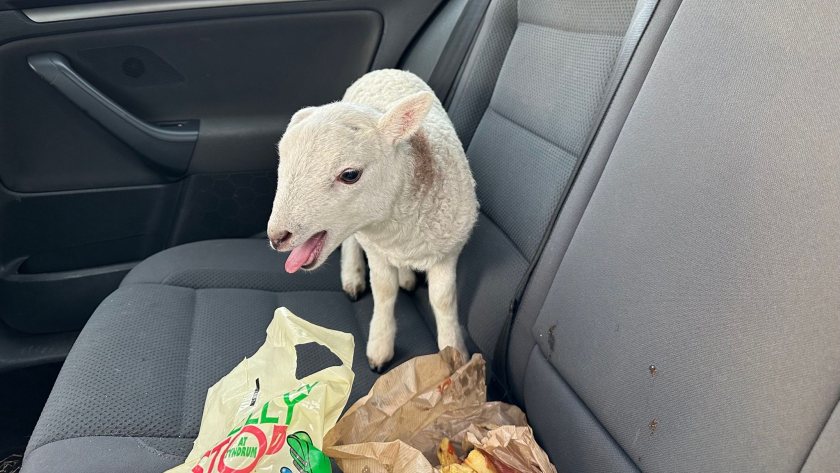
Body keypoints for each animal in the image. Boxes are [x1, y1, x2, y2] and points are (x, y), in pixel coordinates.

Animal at [270, 68, 480, 368]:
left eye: (350, 175)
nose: (277, 237)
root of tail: (386, 70)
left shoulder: (448, 250)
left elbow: (443, 299)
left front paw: (454, 352)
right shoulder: (376, 249)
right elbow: (383, 290)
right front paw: (380, 346)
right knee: (351, 242)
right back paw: (353, 275)